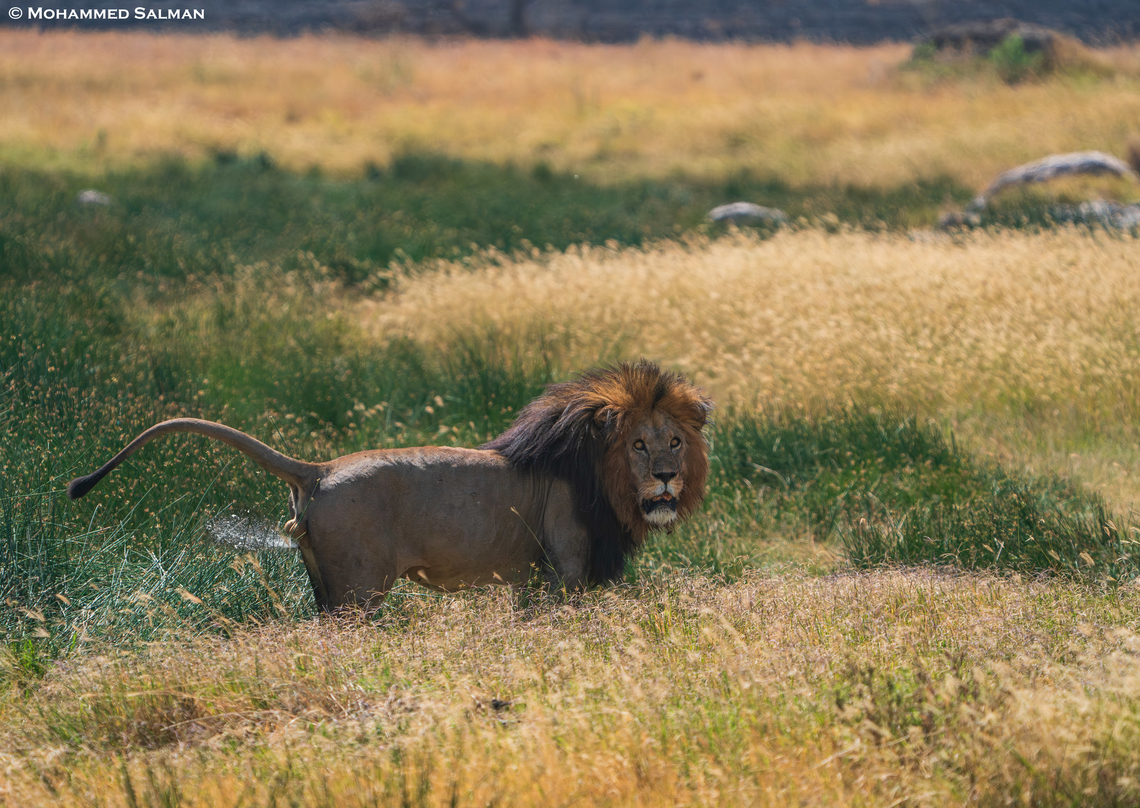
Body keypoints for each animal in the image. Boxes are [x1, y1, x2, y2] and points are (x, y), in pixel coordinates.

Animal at [68, 361, 712, 611]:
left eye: (674, 442)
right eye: (639, 445)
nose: (666, 476)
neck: (604, 481)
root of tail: (319, 469)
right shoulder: (567, 569)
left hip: (326, 588)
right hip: (359, 588)